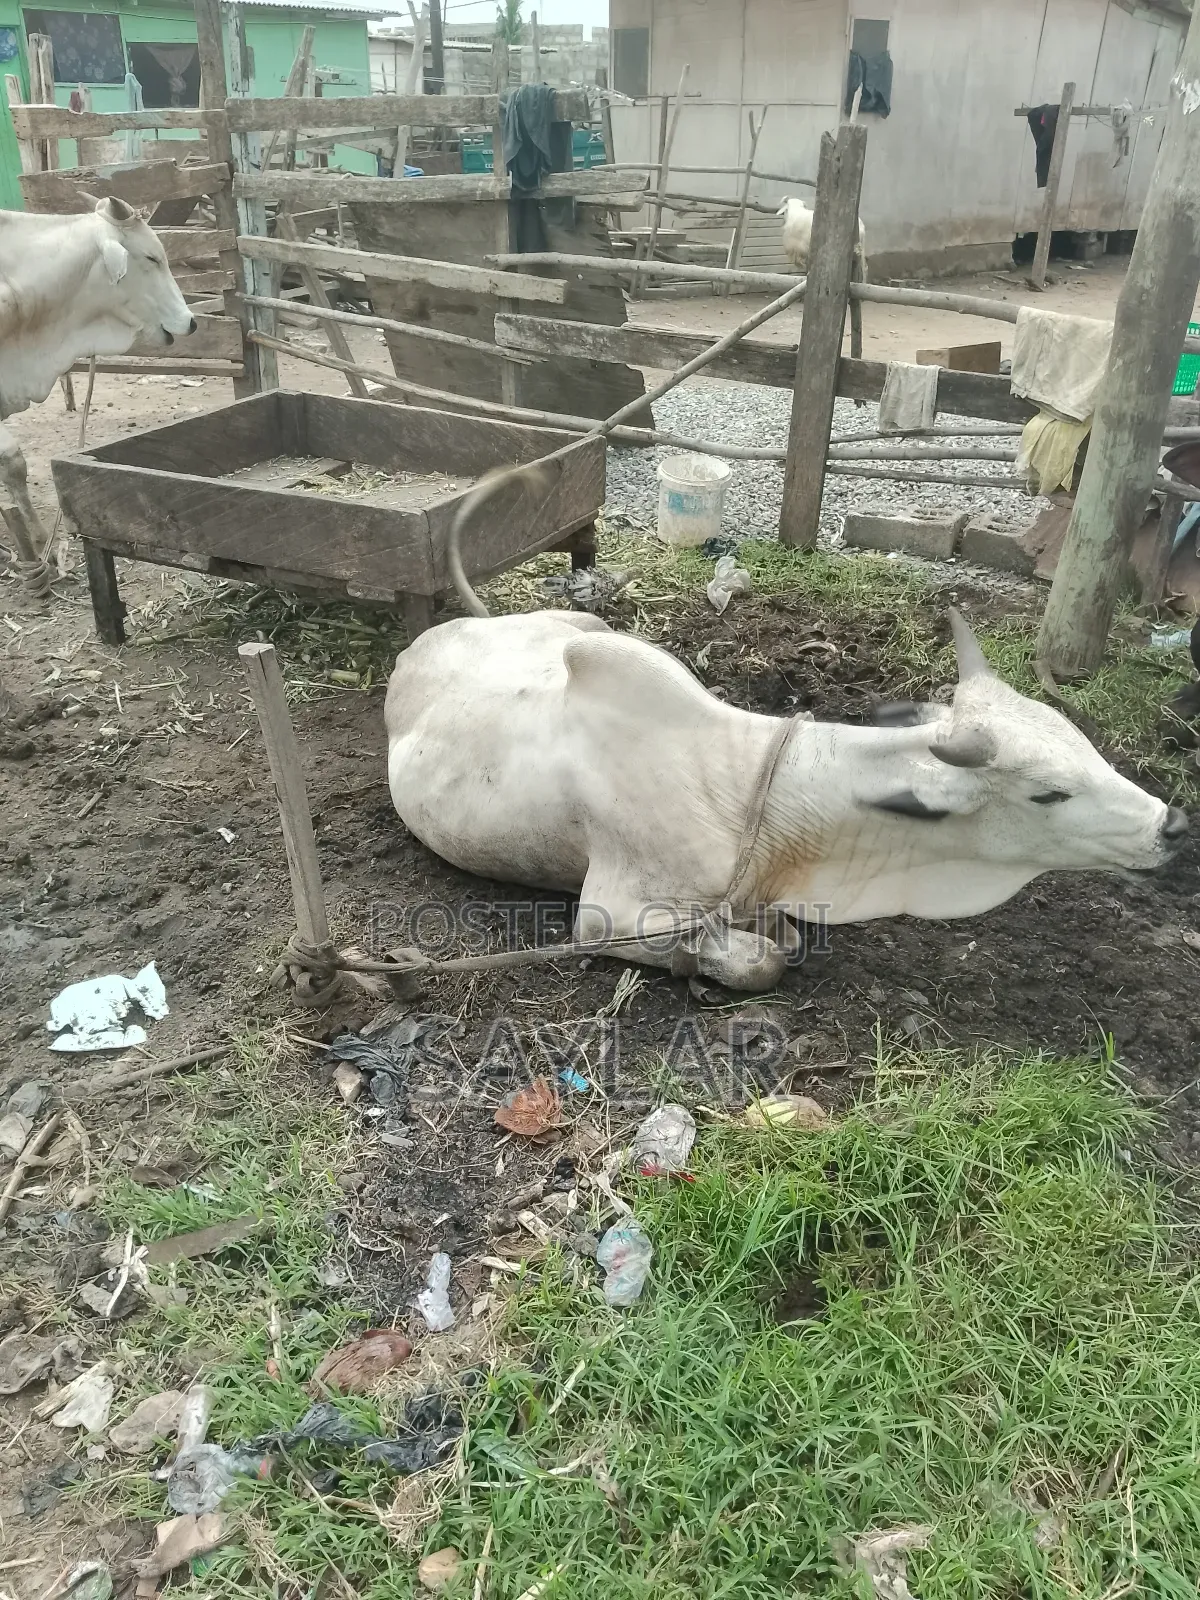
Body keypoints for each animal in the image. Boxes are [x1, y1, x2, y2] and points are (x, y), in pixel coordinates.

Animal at [385, 502, 1187, 992]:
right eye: (1048, 793)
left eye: (1083, 745)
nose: (1173, 825)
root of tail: (437, 634)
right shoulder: (607, 919)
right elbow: (763, 962)